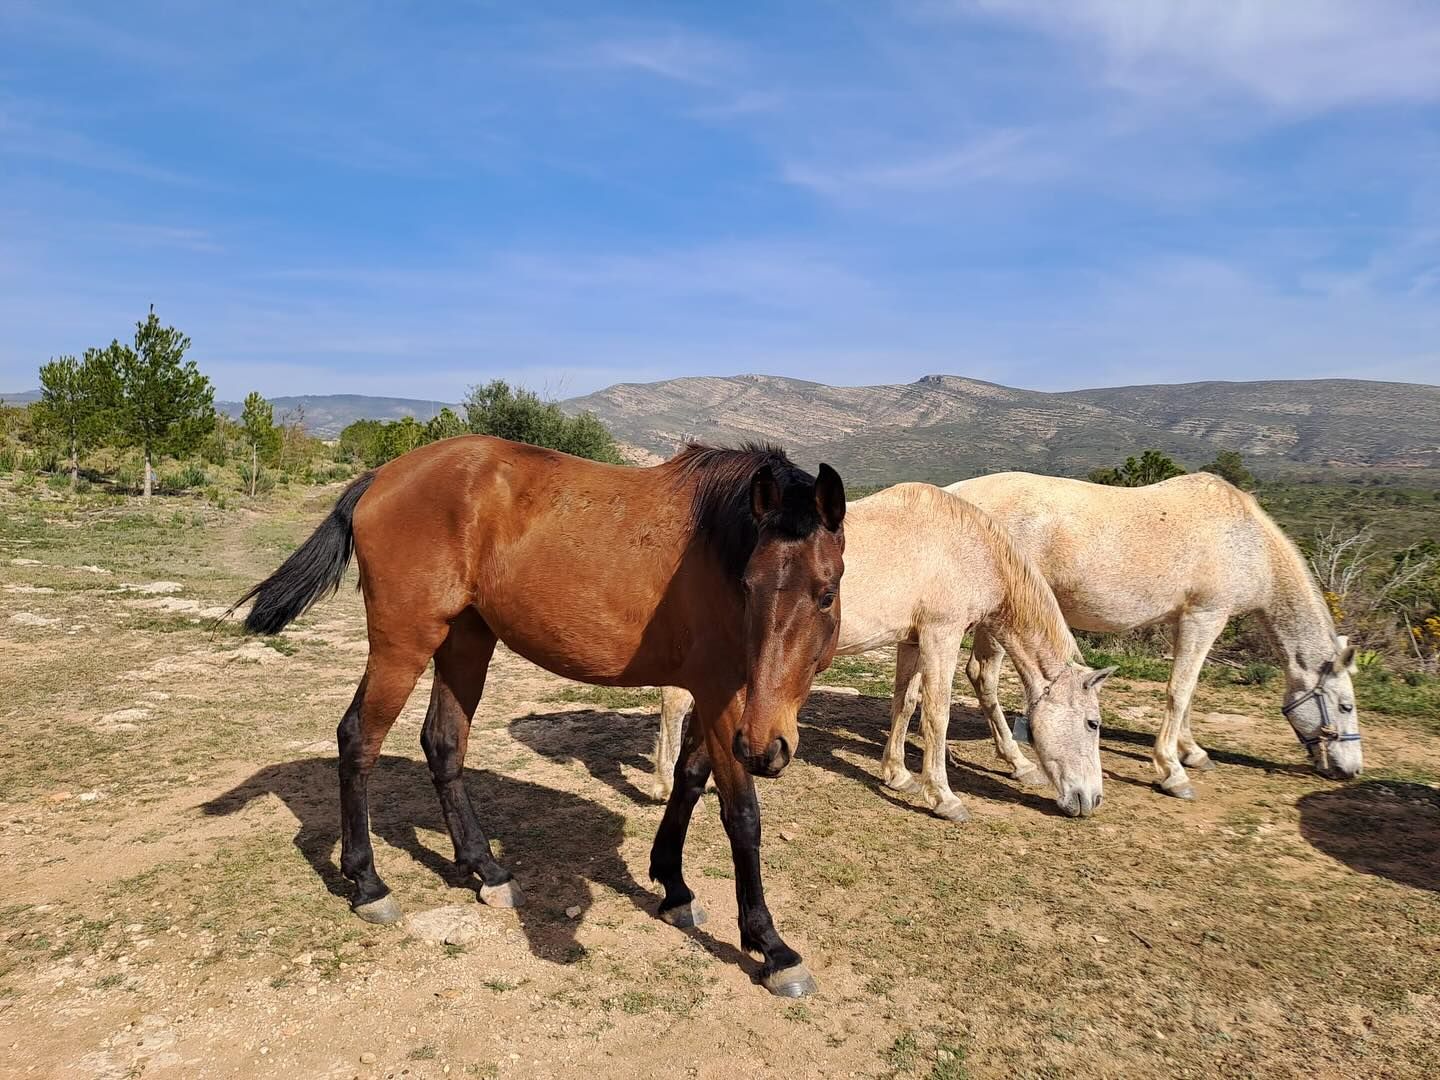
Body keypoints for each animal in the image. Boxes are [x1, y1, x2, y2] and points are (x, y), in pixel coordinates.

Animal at [230, 437, 846, 996]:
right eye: (749, 586)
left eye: (825, 593)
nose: (768, 748)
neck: (717, 540)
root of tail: (383, 476)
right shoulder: (723, 699)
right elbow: (742, 816)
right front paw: (772, 948)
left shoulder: (718, 698)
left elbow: (689, 782)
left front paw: (673, 887)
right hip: (403, 643)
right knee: (359, 740)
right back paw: (368, 885)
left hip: (465, 640)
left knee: (443, 744)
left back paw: (487, 870)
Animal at [653, 480, 1111, 817]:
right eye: (1093, 724)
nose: (1091, 800)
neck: (967, 547)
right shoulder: (942, 635)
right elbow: (937, 715)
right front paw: (943, 797)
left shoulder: (912, 640)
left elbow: (905, 704)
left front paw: (897, 774)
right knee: (675, 701)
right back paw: (663, 783)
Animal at [944, 472, 1359, 806]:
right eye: (1346, 706)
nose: (1352, 770)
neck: (1247, 542)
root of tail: (954, 492)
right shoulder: (1205, 617)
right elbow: (1179, 691)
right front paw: (1173, 773)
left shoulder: (1183, 621)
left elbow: (1188, 691)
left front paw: (1193, 752)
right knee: (983, 675)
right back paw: (1017, 762)